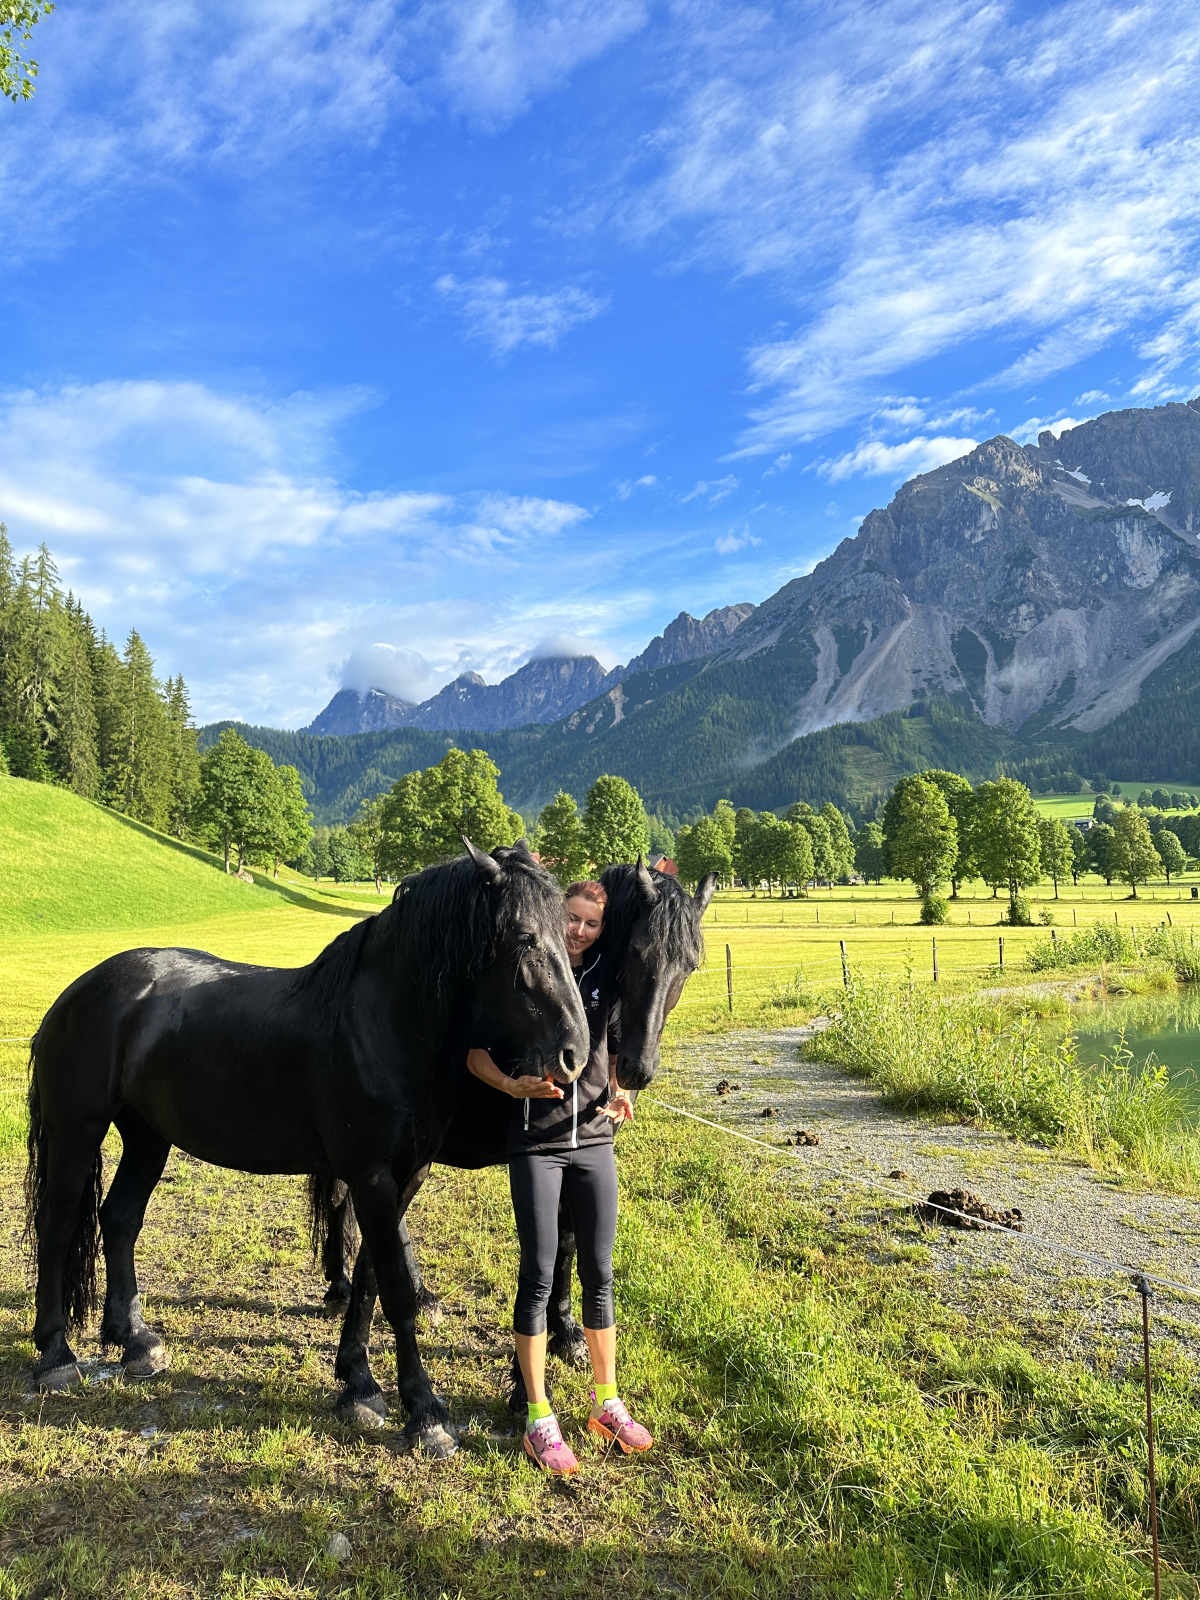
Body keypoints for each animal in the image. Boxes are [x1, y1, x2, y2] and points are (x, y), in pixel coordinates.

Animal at [23, 844, 588, 1459]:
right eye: (523, 937)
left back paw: (136, 1342)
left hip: (148, 1137)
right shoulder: (371, 1177)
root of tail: (78, 993)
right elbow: (396, 1289)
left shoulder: (403, 1176)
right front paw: (425, 1412)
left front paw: (359, 1384)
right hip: (77, 1132)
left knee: (120, 1219)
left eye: (566, 931)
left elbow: (368, 1279)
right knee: (57, 1226)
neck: (381, 1025)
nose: (574, 1055)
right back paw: (55, 1356)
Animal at [315, 864, 720, 1414]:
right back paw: (341, 1286)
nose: (637, 1068)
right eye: (638, 950)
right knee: (343, 1203)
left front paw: (566, 1330)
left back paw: (412, 1294)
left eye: (690, 964)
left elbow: (568, 1243)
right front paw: (527, 1376)